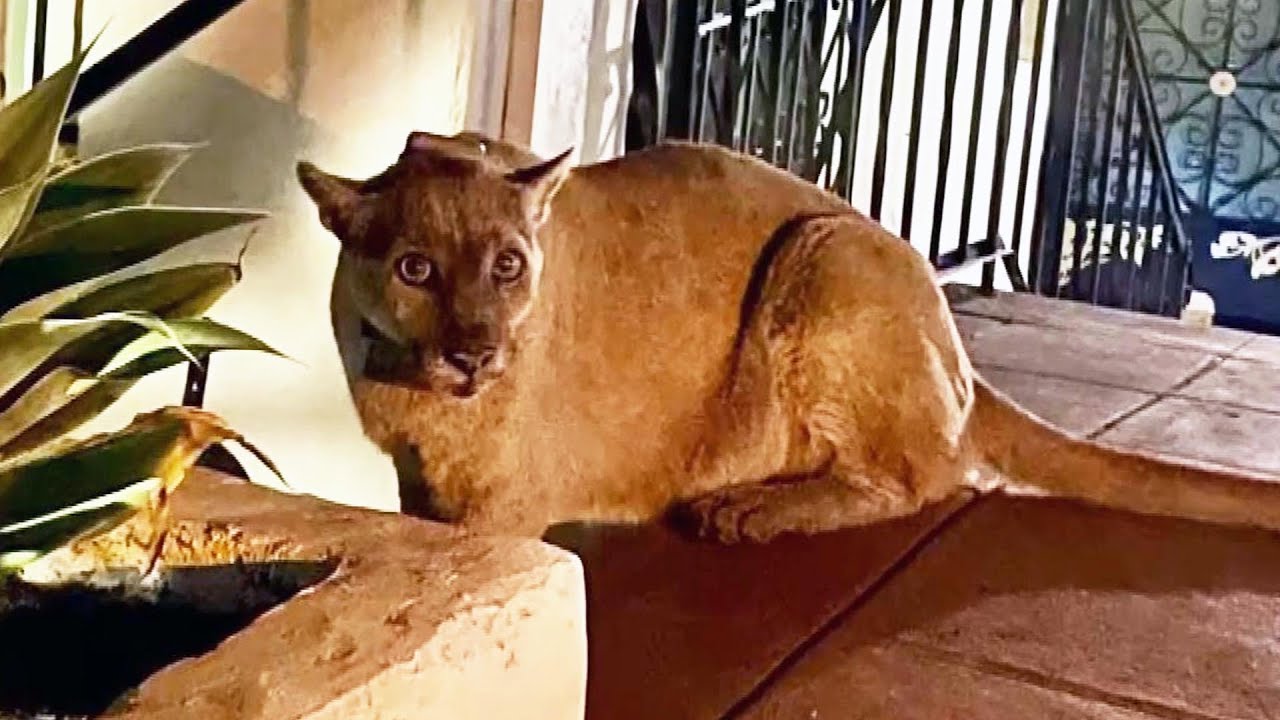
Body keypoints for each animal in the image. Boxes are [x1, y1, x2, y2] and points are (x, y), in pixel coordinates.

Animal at [296, 130, 1280, 542]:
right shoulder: (420, 484)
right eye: (415, 268)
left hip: (823, 252)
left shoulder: (499, 509)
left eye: (508, 265)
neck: (402, 390)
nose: (475, 352)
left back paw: (748, 511)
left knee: (927, 475)